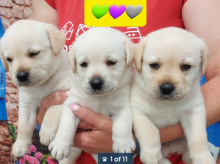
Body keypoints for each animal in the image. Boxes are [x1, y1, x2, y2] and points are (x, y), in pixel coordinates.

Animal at [0, 19, 72, 158]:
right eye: (9, 59)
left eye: (34, 53)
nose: (21, 76)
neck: (42, 84)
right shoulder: (26, 104)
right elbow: (23, 125)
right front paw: (20, 145)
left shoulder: (68, 94)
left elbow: (52, 109)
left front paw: (46, 133)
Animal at [48, 26, 136, 163]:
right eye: (83, 64)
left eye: (111, 62)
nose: (96, 83)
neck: (99, 98)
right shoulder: (72, 104)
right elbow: (66, 124)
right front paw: (59, 144)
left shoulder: (122, 106)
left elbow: (123, 123)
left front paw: (124, 144)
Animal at [131, 27, 215, 163]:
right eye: (154, 65)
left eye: (186, 67)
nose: (166, 88)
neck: (167, 104)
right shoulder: (139, 112)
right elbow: (149, 131)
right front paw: (151, 155)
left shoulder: (194, 112)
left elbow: (198, 137)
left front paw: (204, 158)